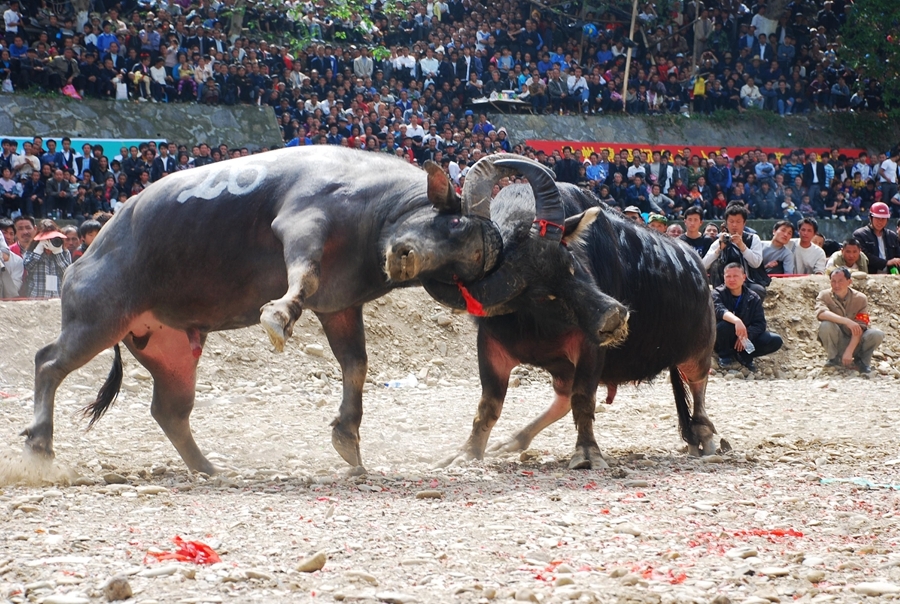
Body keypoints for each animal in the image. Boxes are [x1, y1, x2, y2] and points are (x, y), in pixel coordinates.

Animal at [24, 145, 624, 472]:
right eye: (454, 222)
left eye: (466, 267)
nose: (403, 257)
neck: (374, 220)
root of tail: (87, 254)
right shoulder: (302, 224)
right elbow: (302, 275)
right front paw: (276, 317)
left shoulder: (340, 307)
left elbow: (356, 364)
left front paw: (349, 443)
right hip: (99, 316)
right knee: (48, 361)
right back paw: (38, 447)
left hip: (170, 348)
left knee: (168, 410)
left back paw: (210, 469)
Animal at [424, 155, 716, 468]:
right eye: (540, 295)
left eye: (571, 262)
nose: (614, 317)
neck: (537, 325)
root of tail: (699, 268)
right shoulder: (491, 344)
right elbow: (489, 405)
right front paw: (468, 452)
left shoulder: (590, 348)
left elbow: (583, 398)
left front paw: (587, 453)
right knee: (562, 399)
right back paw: (512, 441)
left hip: (698, 352)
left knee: (698, 387)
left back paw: (707, 438)